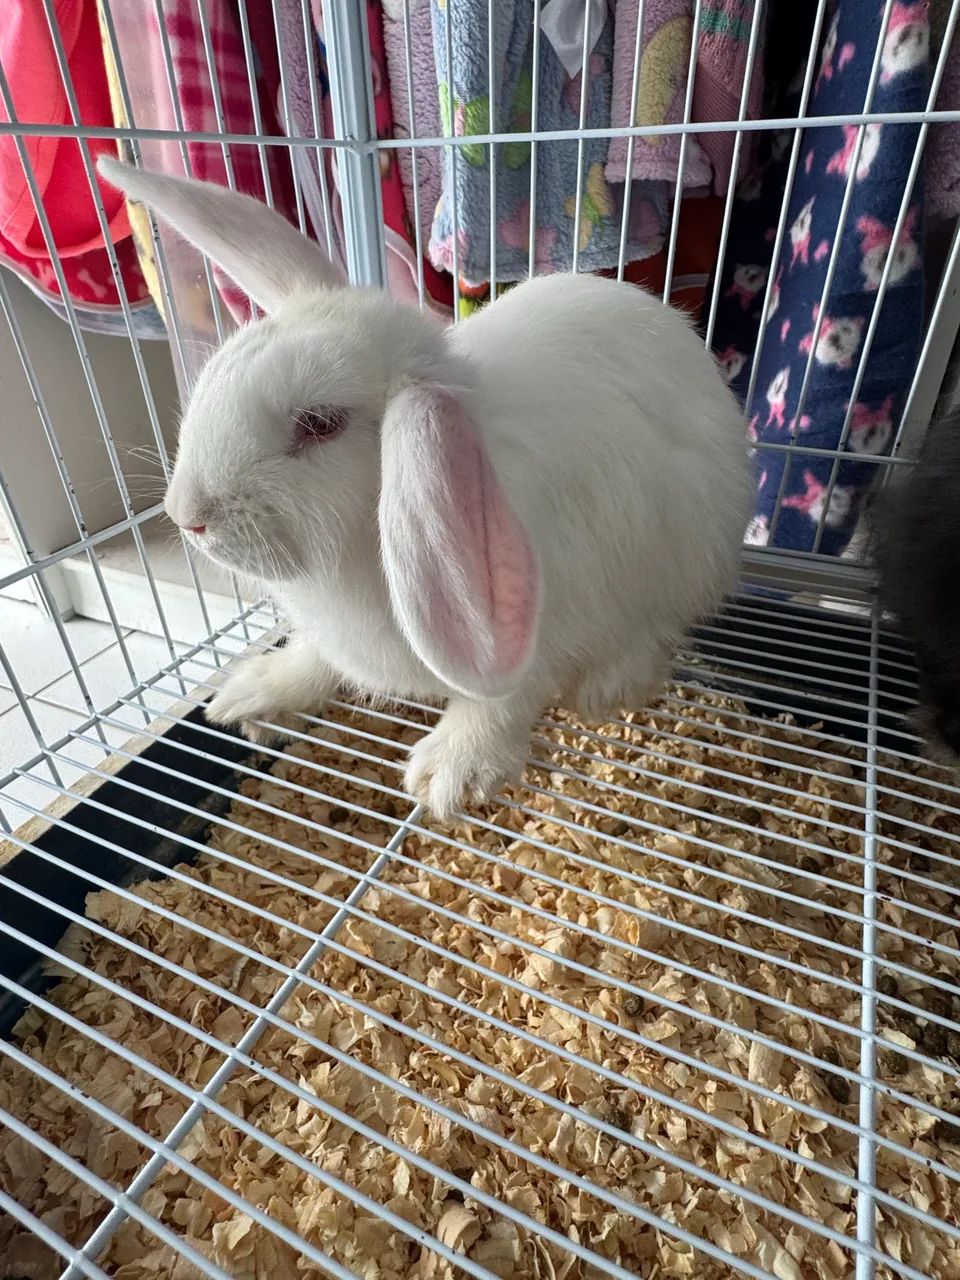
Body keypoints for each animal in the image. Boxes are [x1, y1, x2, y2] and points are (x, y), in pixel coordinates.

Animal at [98, 155, 752, 819]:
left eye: (320, 424)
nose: (187, 516)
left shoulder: (540, 626)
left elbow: (503, 698)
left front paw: (452, 774)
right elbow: (314, 658)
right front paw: (252, 695)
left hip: (686, 549)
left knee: (653, 630)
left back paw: (605, 688)